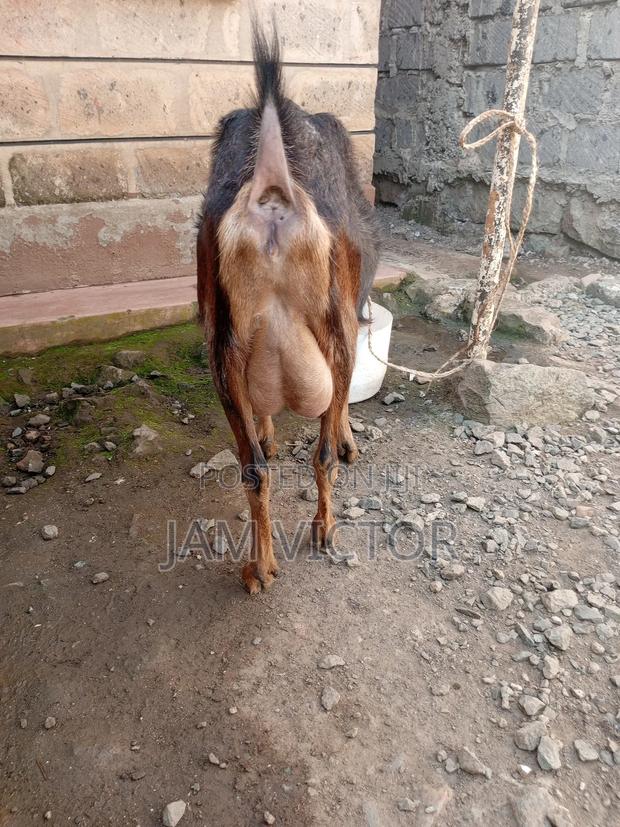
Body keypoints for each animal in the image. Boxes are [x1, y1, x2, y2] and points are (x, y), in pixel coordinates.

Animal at [196, 23, 381, 594]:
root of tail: (274, 191)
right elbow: (338, 408)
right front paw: (348, 440)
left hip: (222, 344)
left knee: (254, 469)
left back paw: (261, 568)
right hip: (335, 325)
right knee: (321, 454)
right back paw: (325, 529)